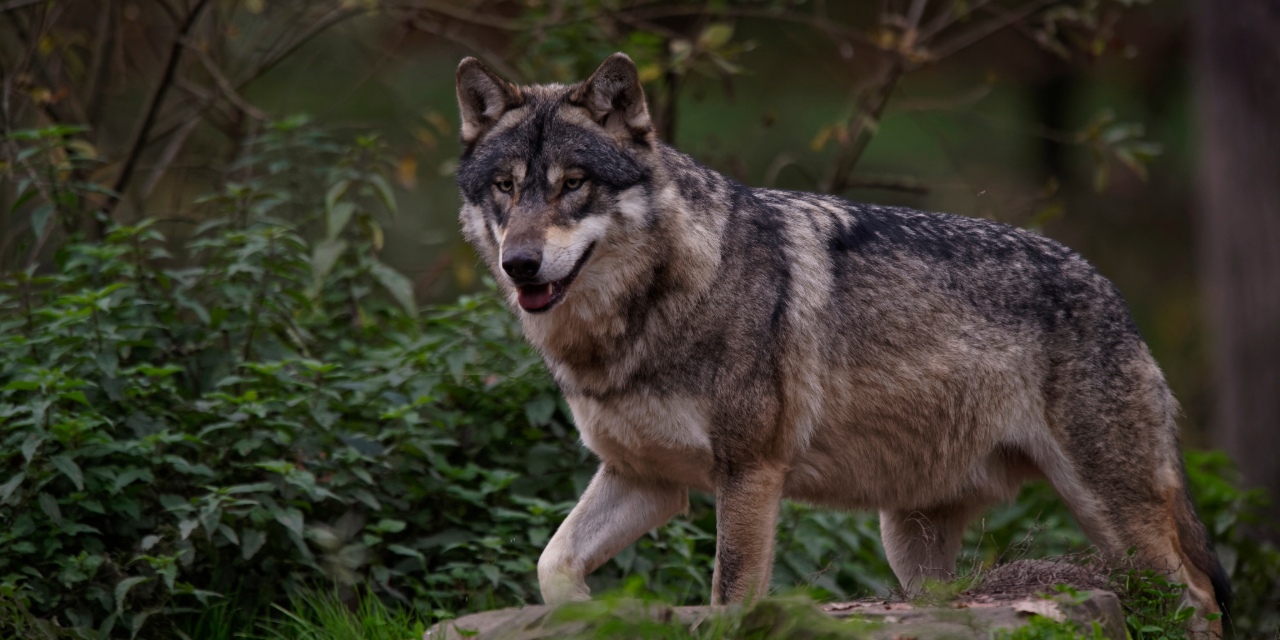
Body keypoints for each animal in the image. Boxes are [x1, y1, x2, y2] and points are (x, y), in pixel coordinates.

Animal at [452, 53, 1230, 627]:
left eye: (573, 184)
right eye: (505, 187)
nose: (520, 264)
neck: (655, 304)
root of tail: (1114, 293)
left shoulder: (750, 473)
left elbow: (730, 598)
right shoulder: (645, 479)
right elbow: (552, 564)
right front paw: (584, 612)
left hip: (1111, 514)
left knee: (1195, 596)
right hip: (911, 545)